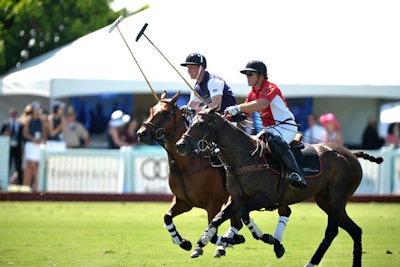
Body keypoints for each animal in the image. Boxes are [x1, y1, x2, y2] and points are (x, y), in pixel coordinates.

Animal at [136, 91, 245, 258]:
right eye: (151, 111)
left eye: (166, 113)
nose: (142, 134)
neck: (186, 164)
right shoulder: (183, 201)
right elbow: (167, 217)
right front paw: (184, 243)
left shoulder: (214, 203)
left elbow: (212, 232)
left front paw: (201, 245)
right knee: (237, 224)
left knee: (236, 224)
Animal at [177, 107, 384, 267]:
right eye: (190, 121)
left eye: (202, 124)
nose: (180, 145)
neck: (243, 158)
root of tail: (352, 154)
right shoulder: (236, 200)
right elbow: (216, 220)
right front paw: (206, 241)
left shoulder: (265, 198)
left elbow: (245, 215)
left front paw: (268, 238)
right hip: (325, 199)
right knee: (355, 230)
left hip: (338, 196)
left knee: (332, 231)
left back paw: (310, 262)